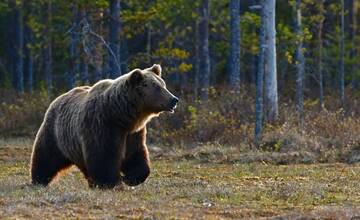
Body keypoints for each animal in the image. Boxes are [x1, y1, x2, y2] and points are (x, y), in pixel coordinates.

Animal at [29, 64, 179, 188]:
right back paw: (39, 180)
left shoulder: (133, 133)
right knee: (46, 157)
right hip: (55, 133)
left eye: (163, 84)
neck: (120, 115)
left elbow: (135, 155)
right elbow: (103, 156)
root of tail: (58, 98)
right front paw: (111, 182)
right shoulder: (102, 126)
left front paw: (130, 178)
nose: (174, 99)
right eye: (157, 87)